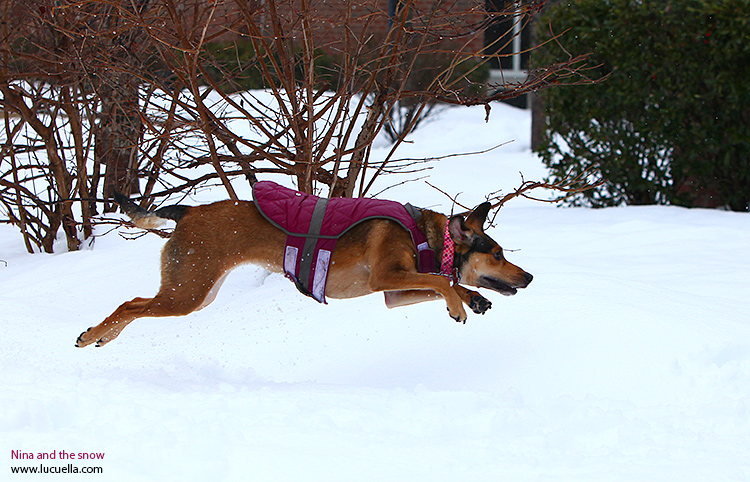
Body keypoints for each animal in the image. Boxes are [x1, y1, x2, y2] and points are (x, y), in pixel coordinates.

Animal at [76, 190, 536, 348]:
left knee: (137, 303)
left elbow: (439, 282)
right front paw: (459, 303)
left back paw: (101, 335)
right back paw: (94, 333)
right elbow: (439, 278)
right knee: (131, 303)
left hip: (198, 291)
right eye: (497, 253)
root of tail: (188, 211)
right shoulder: (385, 276)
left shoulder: (393, 293)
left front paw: (470, 298)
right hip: (187, 292)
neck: (427, 236)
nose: (529, 276)